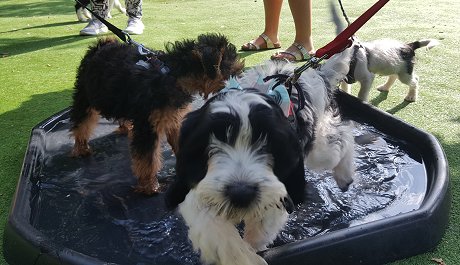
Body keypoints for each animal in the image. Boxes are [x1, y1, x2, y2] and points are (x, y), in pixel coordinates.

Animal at [70, 32, 243, 194]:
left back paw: (125, 127)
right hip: (85, 95)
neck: (173, 75)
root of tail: (100, 45)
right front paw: (149, 186)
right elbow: (148, 159)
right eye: (231, 71)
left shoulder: (175, 118)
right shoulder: (148, 125)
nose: (239, 83)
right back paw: (81, 148)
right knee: (81, 122)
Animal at [166, 49, 356, 264]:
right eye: (212, 139)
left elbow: (263, 224)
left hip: (318, 148)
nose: (241, 192)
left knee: (343, 137)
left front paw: (250, 250)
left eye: (270, 142)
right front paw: (238, 255)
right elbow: (208, 221)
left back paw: (345, 175)